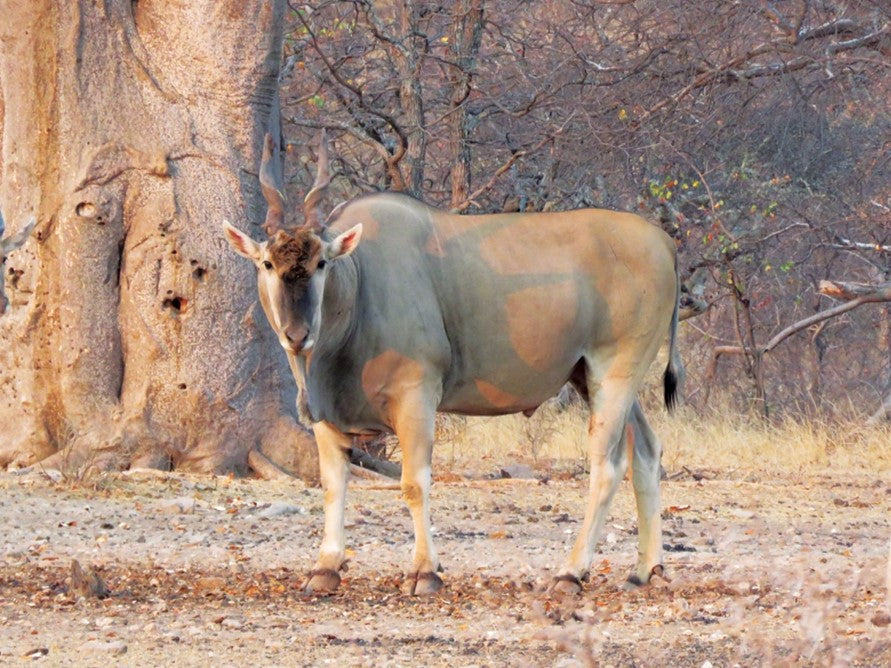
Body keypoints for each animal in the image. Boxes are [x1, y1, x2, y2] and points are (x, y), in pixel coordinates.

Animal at [223, 134, 684, 596]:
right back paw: (646, 569)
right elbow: (334, 484)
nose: (297, 335)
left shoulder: (416, 396)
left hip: (614, 371)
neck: (360, 278)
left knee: (608, 465)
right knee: (647, 451)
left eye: (321, 263)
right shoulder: (327, 416)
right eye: (267, 263)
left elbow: (414, 482)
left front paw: (424, 571)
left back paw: (570, 572)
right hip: (593, 378)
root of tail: (665, 243)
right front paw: (325, 567)